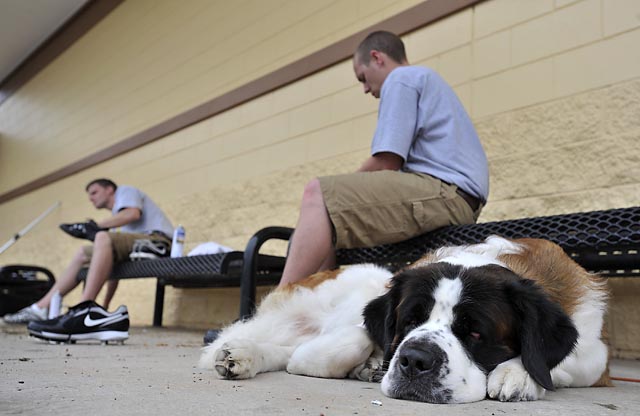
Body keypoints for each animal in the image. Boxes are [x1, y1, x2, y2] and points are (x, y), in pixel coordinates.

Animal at [200, 237, 608, 404]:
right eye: (408, 321)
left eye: (476, 333)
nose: (414, 360)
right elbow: (346, 340)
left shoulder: (595, 353)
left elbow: (560, 360)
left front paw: (519, 373)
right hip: (365, 277)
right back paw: (242, 352)